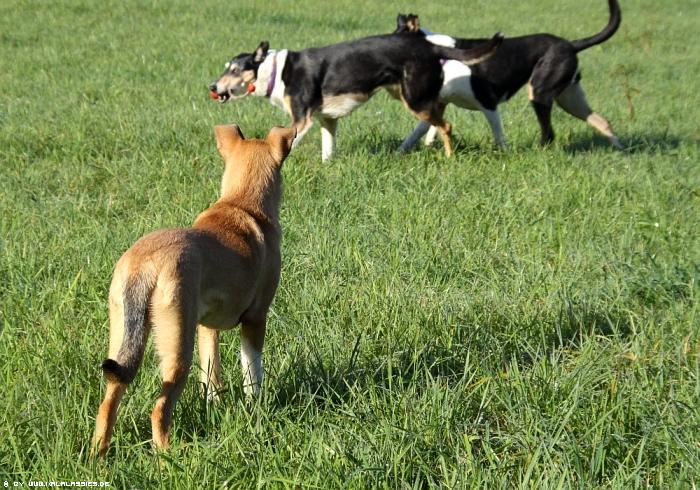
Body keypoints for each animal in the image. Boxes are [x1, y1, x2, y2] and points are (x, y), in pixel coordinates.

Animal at [91, 124, 296, 456]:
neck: (242, 203)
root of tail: (144, 264)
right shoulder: (256, 318)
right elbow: (252, 370)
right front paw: (255, 407)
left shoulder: (206, 326)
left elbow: (211, 374)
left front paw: (214, 406)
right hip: (176, 345)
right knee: (159, 410)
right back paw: (169, 457)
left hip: (123, 335)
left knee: (108, 401)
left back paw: (98, 453)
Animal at [209, 33, 503, 160]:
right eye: (226, 67)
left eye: (235, 70)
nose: (212, 86)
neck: (275, 71)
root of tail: (430, 46)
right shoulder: (327, 120)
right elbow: (328, 150)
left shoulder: (302, 120)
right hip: (412, 95)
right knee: (438, 117)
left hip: (414, 98)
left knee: (446, 125)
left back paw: (449, 157)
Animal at [395, 0, 623, 151]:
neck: (440, 55)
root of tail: (571, 44)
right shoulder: (437, 102)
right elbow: (418, 131)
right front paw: (402, 152)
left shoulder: (488, 103)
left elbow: (498, 135)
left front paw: (504, 155)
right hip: (569, 99)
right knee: (603, 122)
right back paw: (620, 152)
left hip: (540, 94)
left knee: (549, 134)